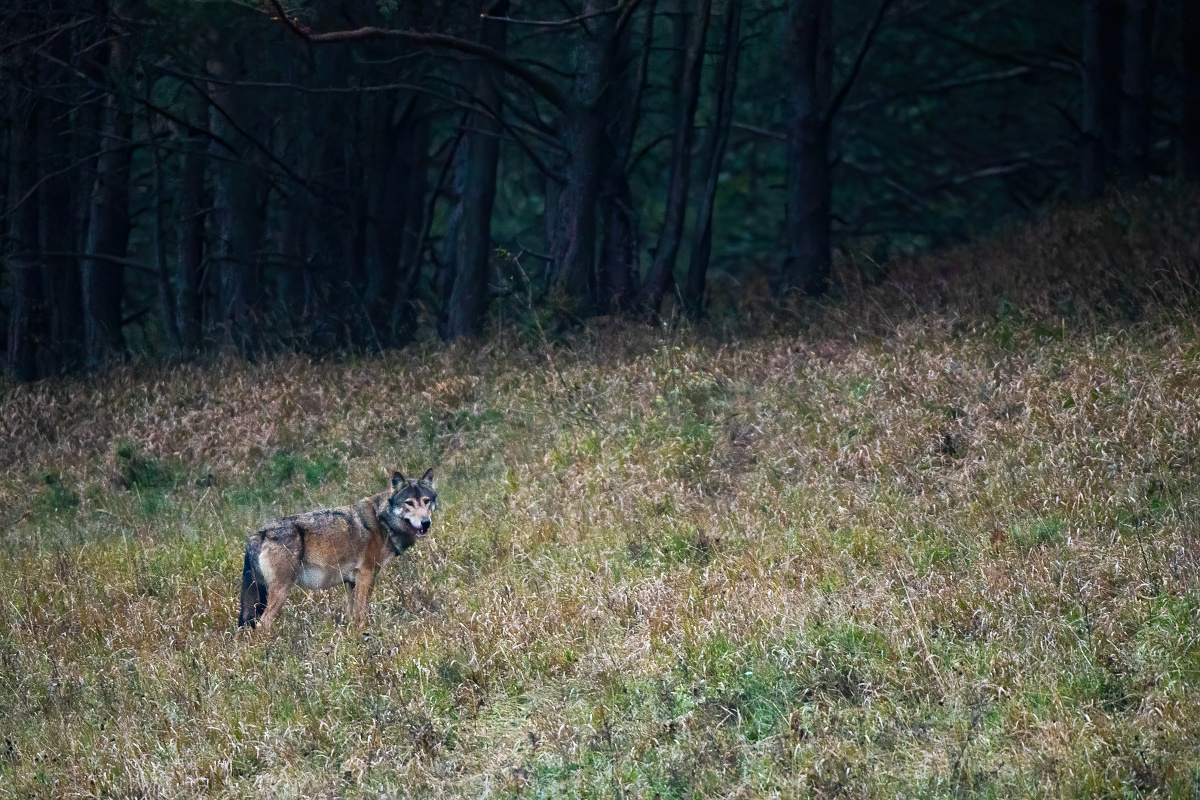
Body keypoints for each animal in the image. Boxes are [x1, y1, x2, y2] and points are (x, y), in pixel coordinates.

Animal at [236, 470, 439, 633]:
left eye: (426, 501)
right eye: (409, 503)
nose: (425, 522)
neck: (382, 520)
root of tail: (258, 535)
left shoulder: (351, 581)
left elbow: (353, 614)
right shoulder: (366, 575)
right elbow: (362, 612)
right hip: (281, 592)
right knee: (262, 625)